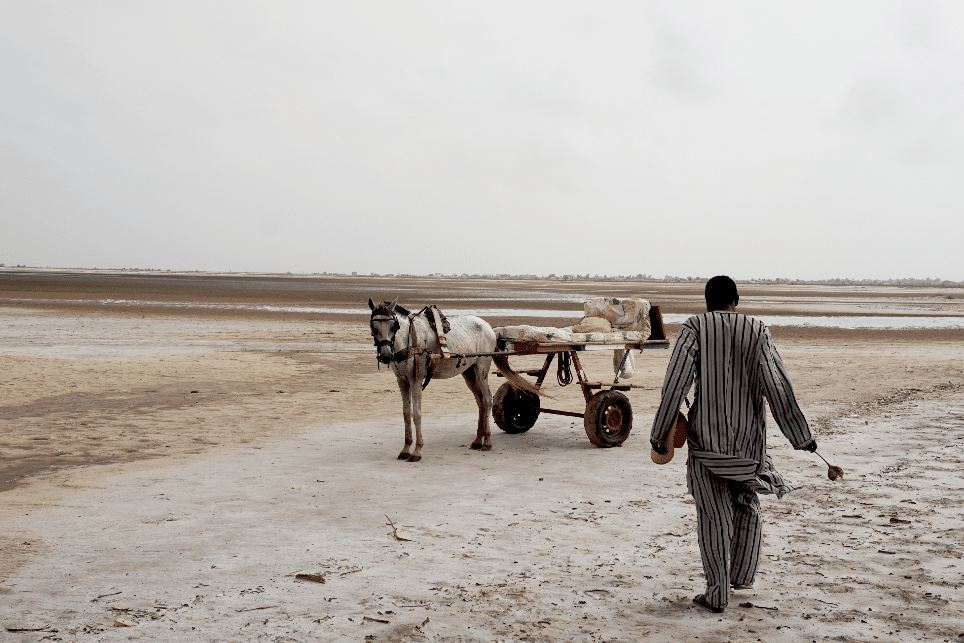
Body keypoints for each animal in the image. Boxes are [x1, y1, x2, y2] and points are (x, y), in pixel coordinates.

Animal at [370, 300, 540, 460]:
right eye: (373, 327)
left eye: (394, 326)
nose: (385, 355)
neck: (409, 339)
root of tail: (488, 327)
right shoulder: (402, 381)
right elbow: (406, 414)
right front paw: (405, 449)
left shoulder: (416, 380)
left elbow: (416, 414)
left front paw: (417, 451)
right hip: (469, 372)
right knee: (480, 402)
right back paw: (477, 440)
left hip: (481, 368)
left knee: (487, 399)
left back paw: (487, 442)